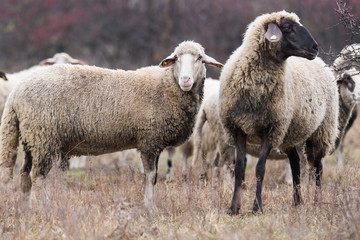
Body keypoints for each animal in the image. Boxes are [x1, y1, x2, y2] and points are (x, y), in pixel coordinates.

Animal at [0, 41, 224, 214]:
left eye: (199, 58)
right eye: (176, 58)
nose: (185, 80)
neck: (167, 86)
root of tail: (16, 93)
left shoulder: (153, 142)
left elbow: (152, 177)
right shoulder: (150, 141)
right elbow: (151, 176)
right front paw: (150, 208)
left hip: (32, 139)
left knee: (24, 175)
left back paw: (26, 208)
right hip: (43, 137)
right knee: (37, 176)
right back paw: (43, 208)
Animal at [218, 10, 338, 216]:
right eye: (287, 28)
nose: (315, 48)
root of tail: (323, 63)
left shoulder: (271, 130)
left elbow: (260, 169)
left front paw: (257, 207)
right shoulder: (237, 129)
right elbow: (240, 169)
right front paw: (234, 208)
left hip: (322, 130)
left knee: (318, 167)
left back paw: (316, 202)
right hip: (291, 131)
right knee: (296, 163)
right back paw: (297, 202)